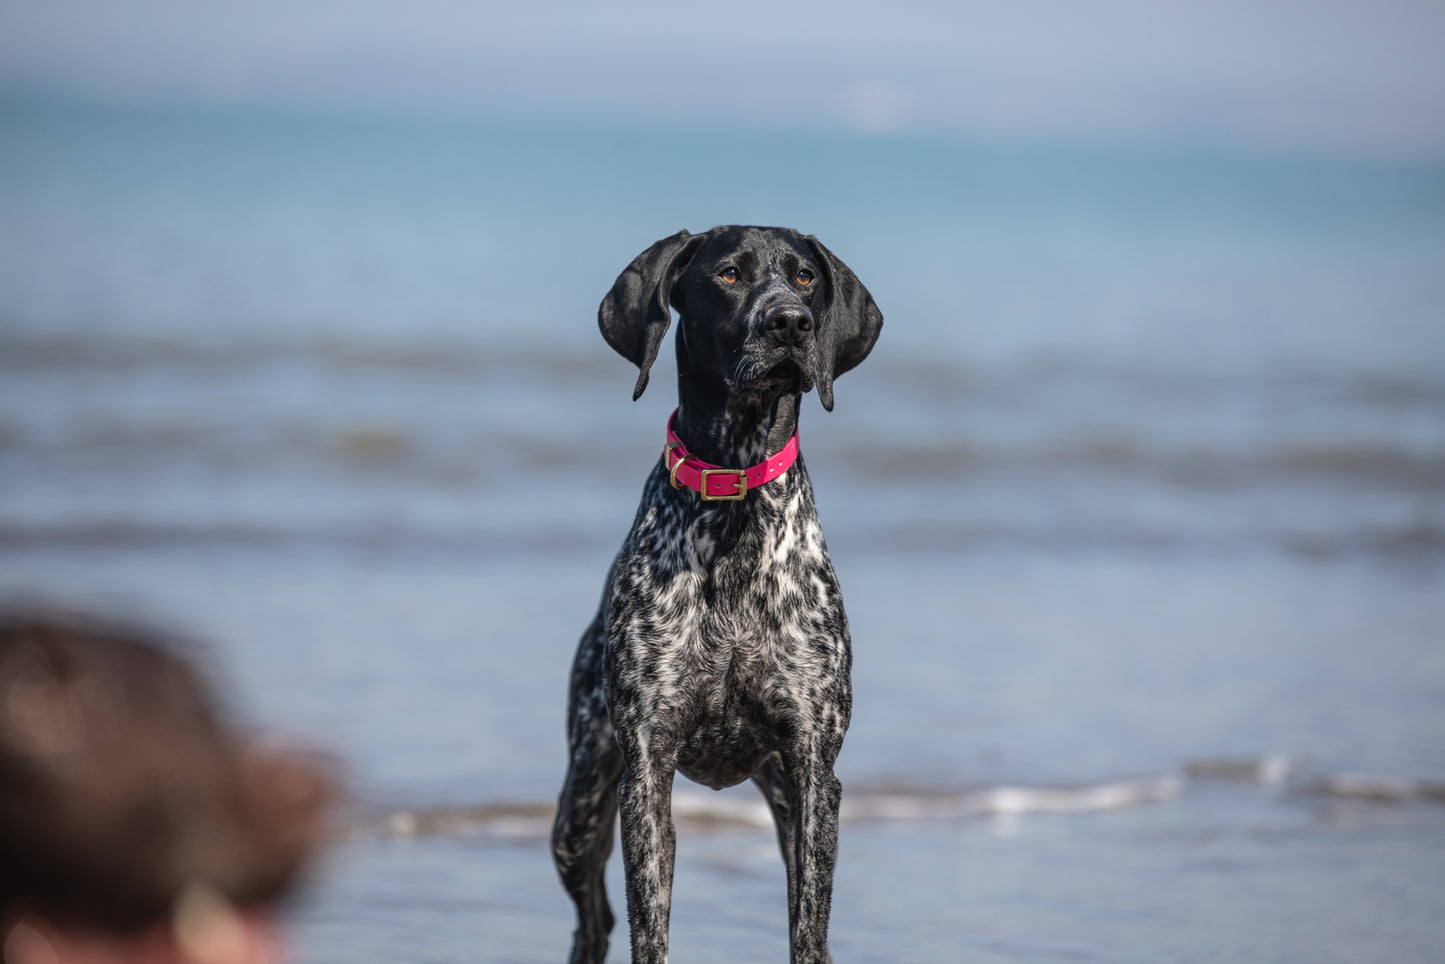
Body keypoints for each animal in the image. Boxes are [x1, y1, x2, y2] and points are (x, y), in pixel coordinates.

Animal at [549, 228, 878, 964]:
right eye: (728, 275)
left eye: (806, 278)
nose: (791, 323)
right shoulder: (647, 771)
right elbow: (649, 928)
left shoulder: (814, 771)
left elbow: (808, 927)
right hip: (578, 810)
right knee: (592, 921)